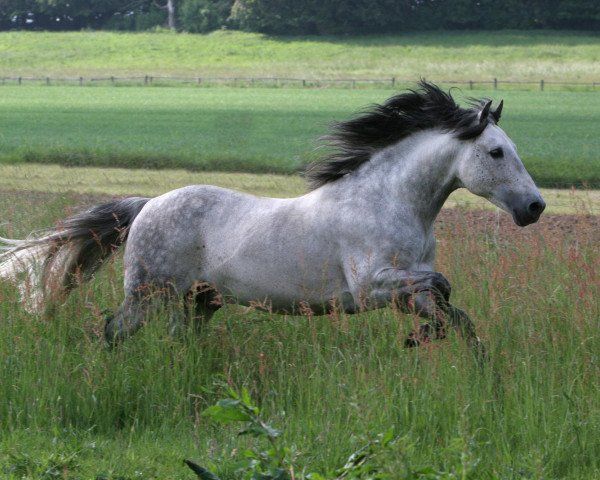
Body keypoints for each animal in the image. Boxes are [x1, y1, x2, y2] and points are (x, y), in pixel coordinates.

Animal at [0, 82, 544, 348]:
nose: (535, 207)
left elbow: (458, 315)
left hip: (197, 301)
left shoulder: (406, 288)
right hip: (149, 293)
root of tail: (146, 205)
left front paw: (441, 347)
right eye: (496, 152)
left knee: (178, 341)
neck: (387, 202)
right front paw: (419, 340)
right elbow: (444, 286)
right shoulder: (373, 286)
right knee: (113, 332)